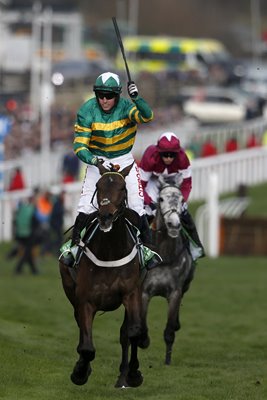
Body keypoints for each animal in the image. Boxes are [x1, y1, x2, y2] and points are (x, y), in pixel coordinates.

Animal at [59, 162, 149, 388]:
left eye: (122, 188)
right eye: (98, 187)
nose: (106, 216)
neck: (110, 252)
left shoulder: (132, 293)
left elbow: (133, 333)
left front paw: (133, 374)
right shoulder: (85, 301)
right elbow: (87, 346)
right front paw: (80, 372)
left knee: (126, 333)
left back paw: (123, 377)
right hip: (69, 288)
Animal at [141, 173, 196, 364]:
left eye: (181, 200)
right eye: (161, 199)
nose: (173, 224)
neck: (164, 255)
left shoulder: (175, 292)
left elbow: (170, 330)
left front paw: (167, 361)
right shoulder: (144, 292)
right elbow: (140, 326)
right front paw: (143, 341)